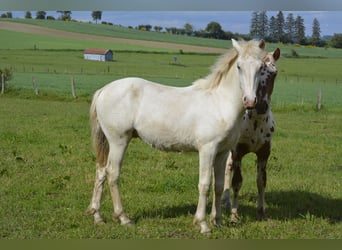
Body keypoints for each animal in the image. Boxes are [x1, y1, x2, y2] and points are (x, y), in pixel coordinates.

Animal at [87, 38, 266, 232]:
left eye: (261, 67)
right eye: (239, 66)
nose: (250, 101)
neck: (220, 102)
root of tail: (104, 90)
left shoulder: (222, 153)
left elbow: (218, 187)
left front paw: (217, 221)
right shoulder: (207, 150)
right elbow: (204, 185)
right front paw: (202, 223)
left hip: (109, 143)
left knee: (101, 171)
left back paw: (97, 216)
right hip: (118, 141)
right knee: (112, 174)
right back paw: (123, 217)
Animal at [222, 47, 280, 223]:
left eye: (274, 73)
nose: (260, 105)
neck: (256, 122)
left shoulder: (264, 153)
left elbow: (261, 181)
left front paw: (261, 212)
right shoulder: (238, 151)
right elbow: (237, 181)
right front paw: (234, 214)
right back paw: (225, 201)